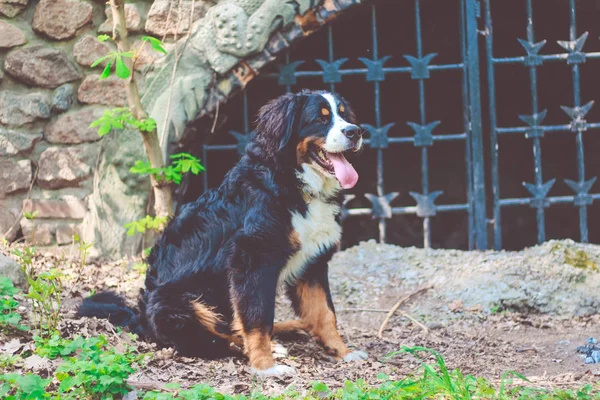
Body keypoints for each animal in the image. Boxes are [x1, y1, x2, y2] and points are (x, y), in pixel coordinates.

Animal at [77, 89, 368, 376]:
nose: (355, 131)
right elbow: (257, 319)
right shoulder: (251, 261)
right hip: (178, 302)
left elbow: (325, 313)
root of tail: (139, 320)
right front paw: (265, 367)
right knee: (215, 339)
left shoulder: (313, 261)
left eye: (344, 115)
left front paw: (343, 352)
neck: (293, 182)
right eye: (321, 118)